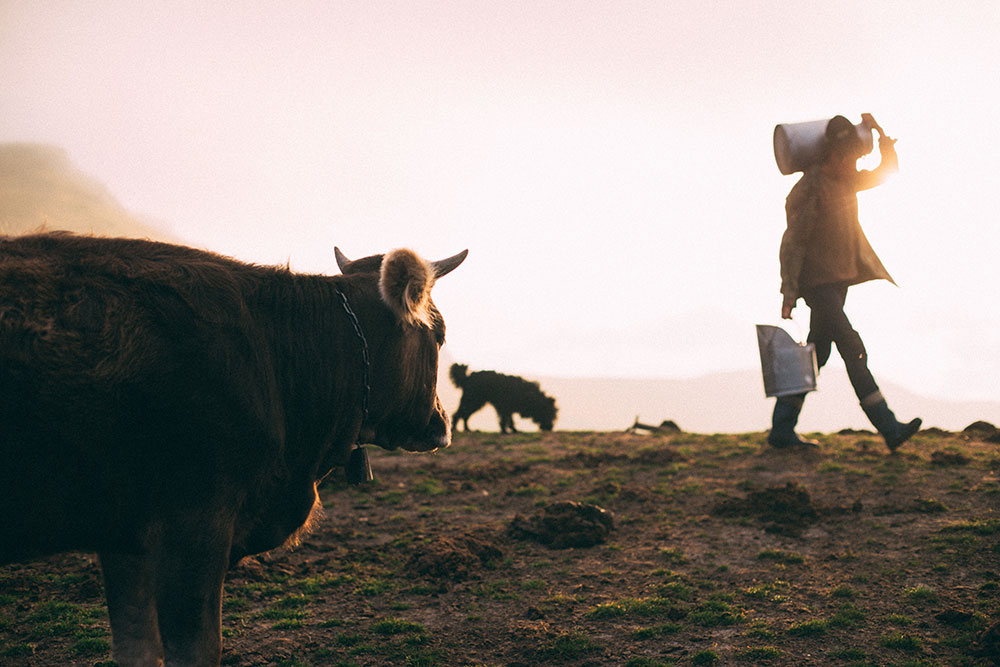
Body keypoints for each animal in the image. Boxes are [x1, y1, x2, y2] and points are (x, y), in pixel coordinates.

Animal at [0, 232, 468, 664]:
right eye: (441, 335)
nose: (441, 422)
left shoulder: (123, 534)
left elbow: (137, 646)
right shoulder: (194, 523)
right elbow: (197, 648)